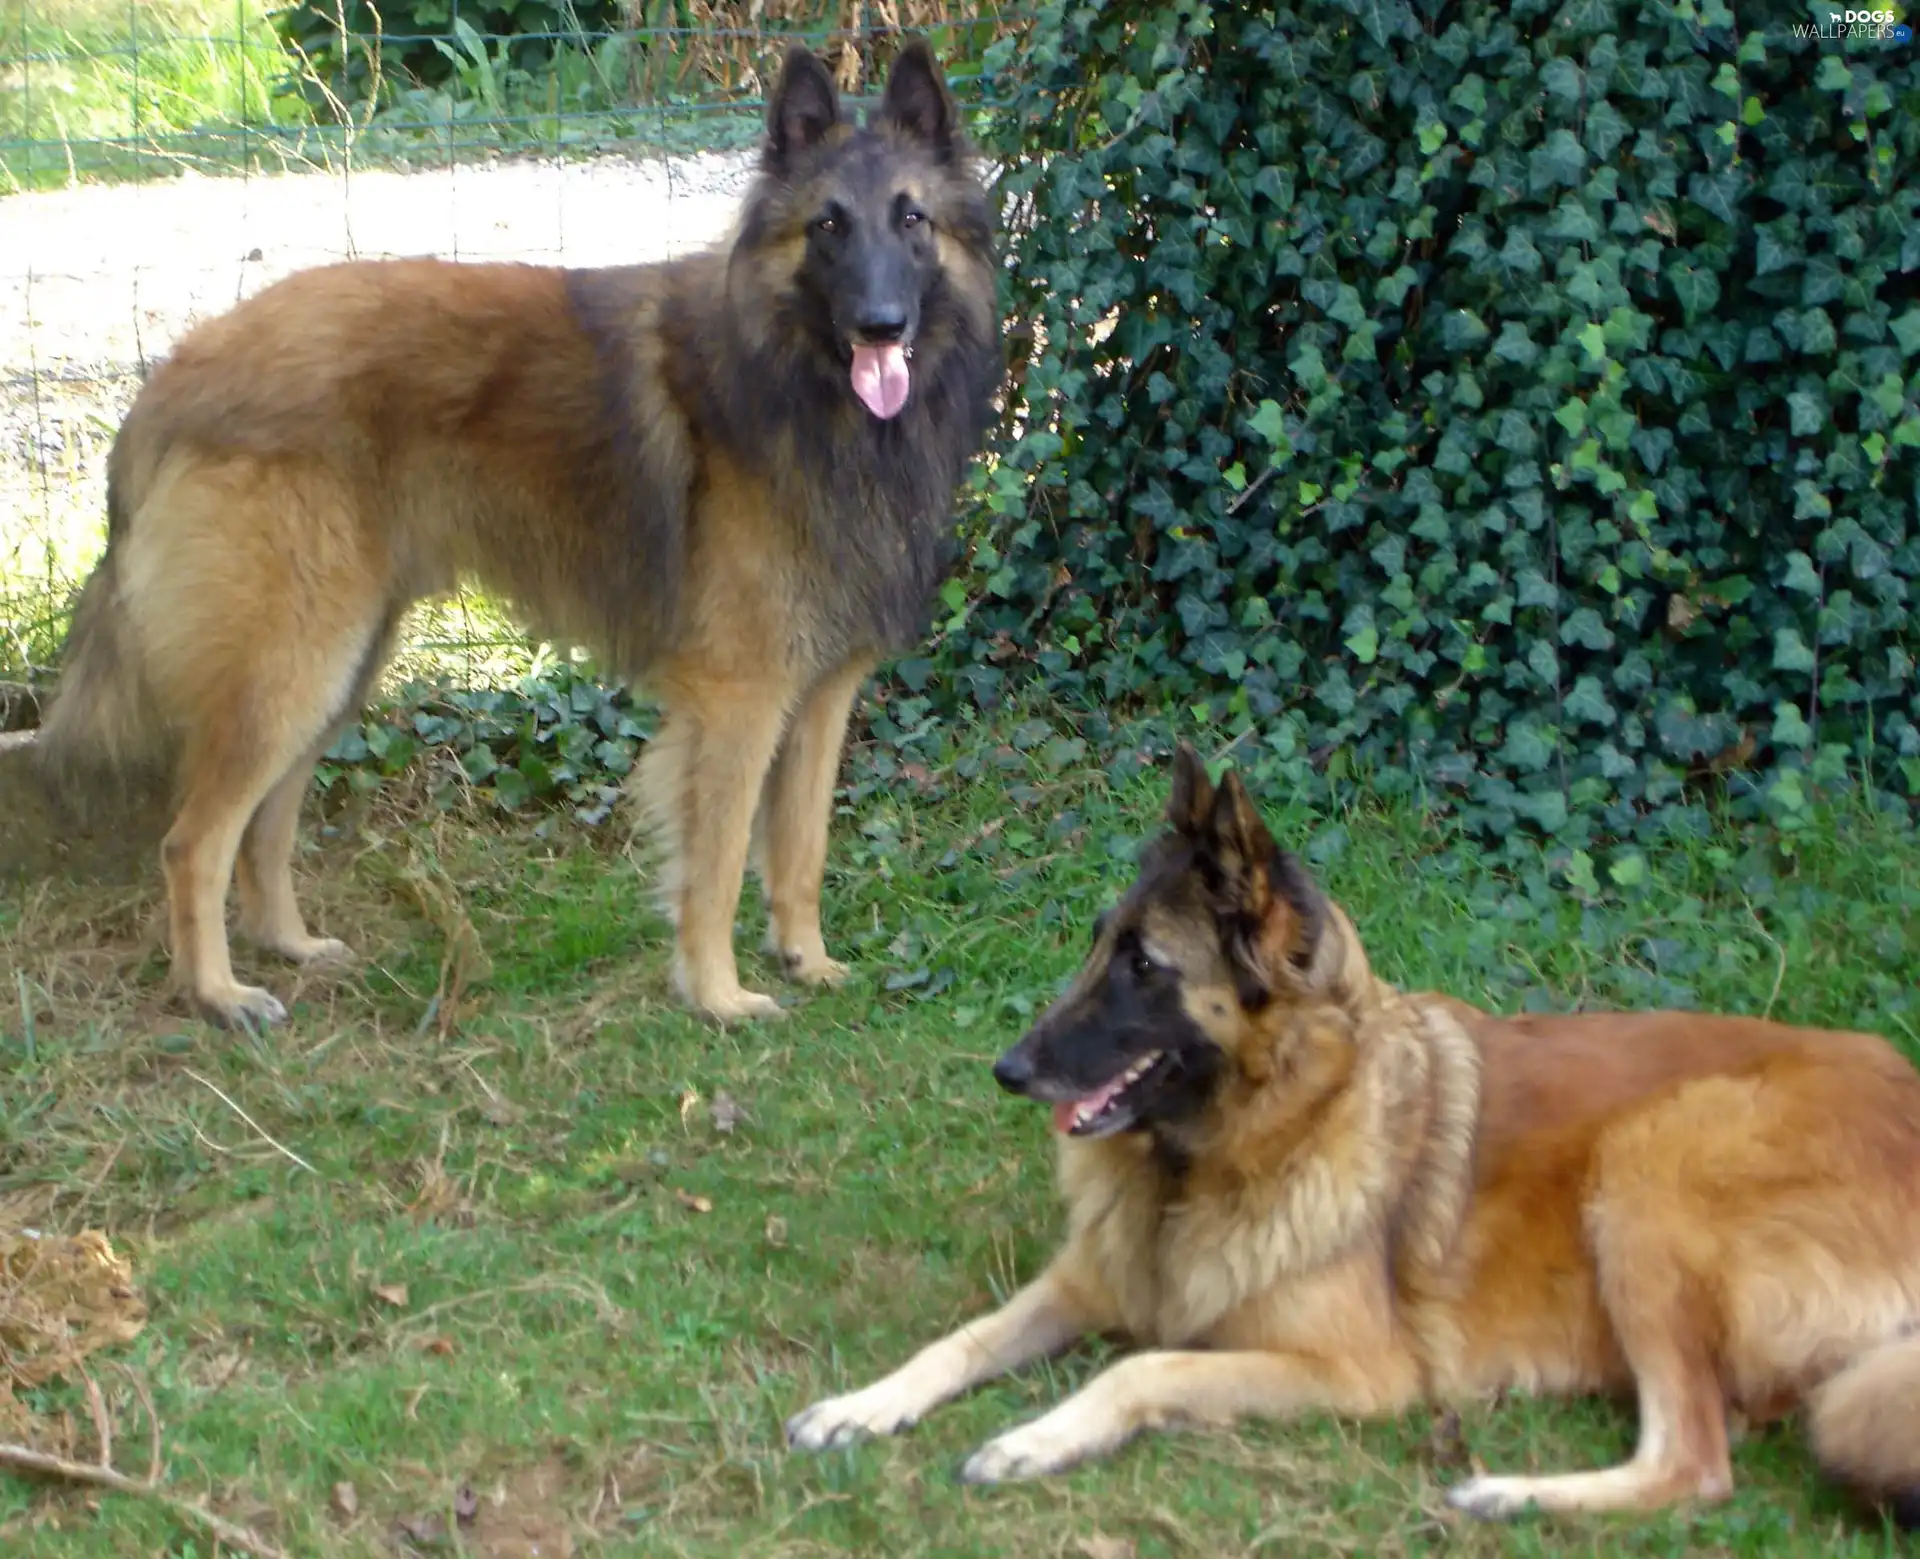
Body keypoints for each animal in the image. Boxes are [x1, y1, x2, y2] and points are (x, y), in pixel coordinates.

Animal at [33, 36, 1006, 1029]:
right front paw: (719, 996)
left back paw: (290, 946)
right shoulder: (738, 700)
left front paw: (808, 961)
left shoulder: (820, 695)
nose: (879, 326)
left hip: (335, 663)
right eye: (827, 227)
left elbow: (801, 850)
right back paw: (220, 993)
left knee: (267, 821)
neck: (797, 386)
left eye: (912, 218)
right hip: (291, 661)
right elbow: (720, 862)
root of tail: (169, 378)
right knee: (194, 840)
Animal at [783, 741, 1920, 1520]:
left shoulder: (1351, 1372)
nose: (1009, 1069)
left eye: (1144, 965)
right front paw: (861, 1403)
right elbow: (962, 1337)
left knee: (1694, 1461)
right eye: (1098, 943)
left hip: (1651, 1166)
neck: (1232, 1148)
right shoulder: (1085, 1281)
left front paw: (1034, 1437)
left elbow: (1142, 1368)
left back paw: (1505, 1492)